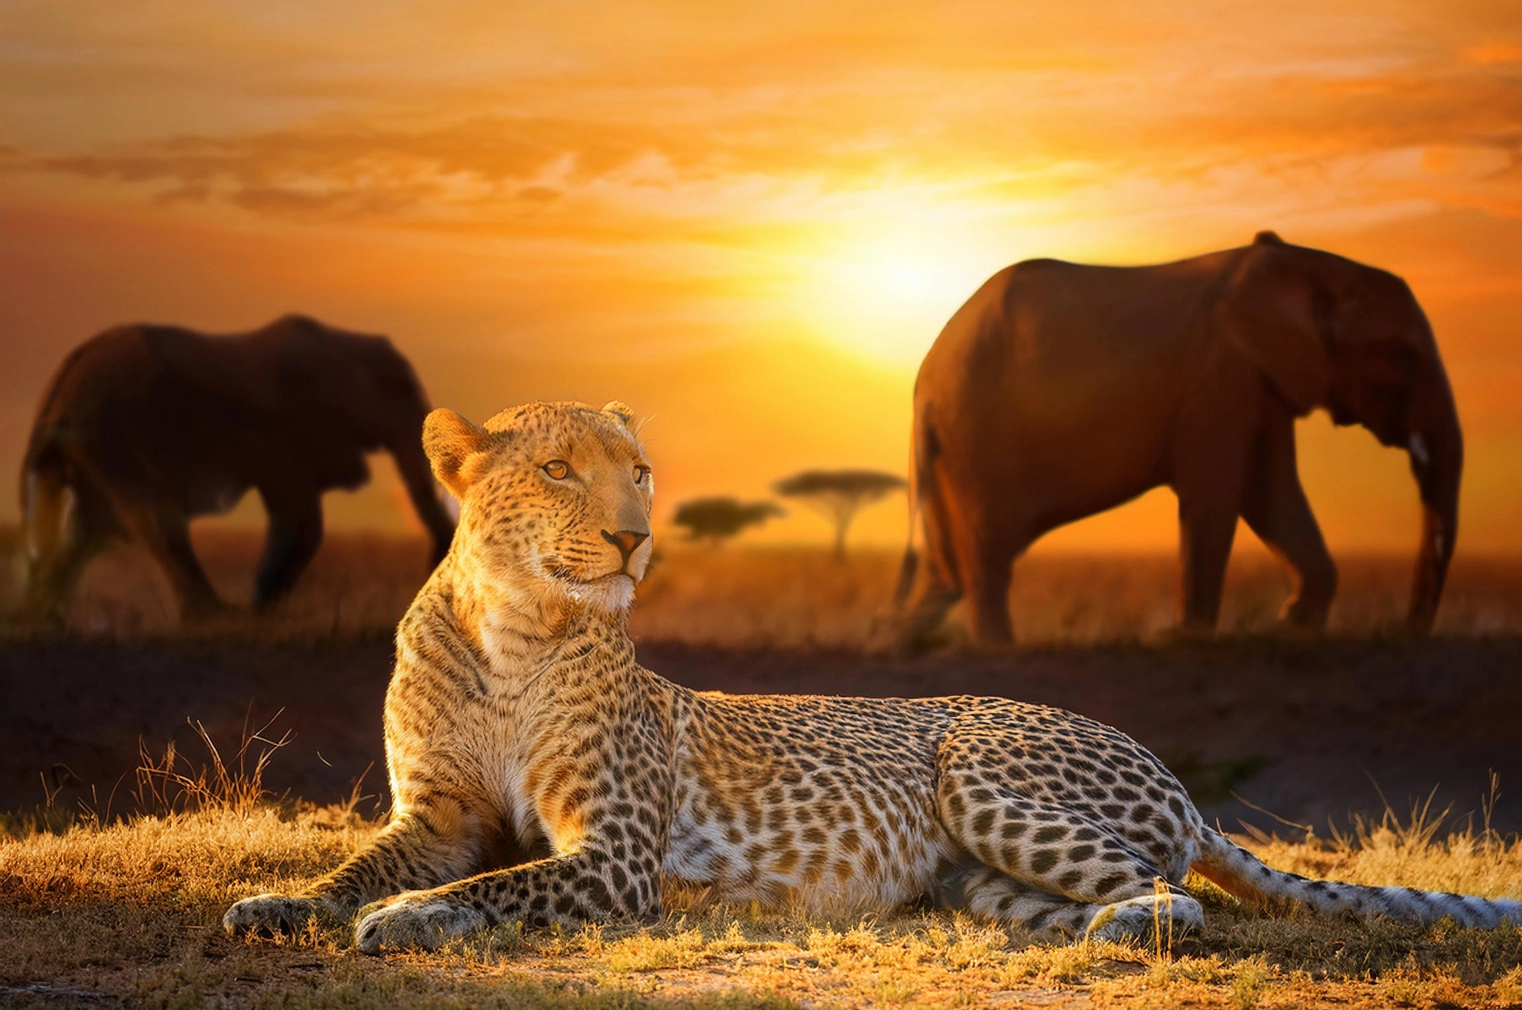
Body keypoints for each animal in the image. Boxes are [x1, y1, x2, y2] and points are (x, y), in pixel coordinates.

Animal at [20, 314, 457, 621]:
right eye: (403, 388)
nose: (436, 561)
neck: (346, 341)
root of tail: (62, 384)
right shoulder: (291, 434)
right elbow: (303, 523)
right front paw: (262, 612)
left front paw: (265, 611)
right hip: (118, 430)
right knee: (151, 520)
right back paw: (212, 617)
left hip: (95, 443)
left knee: (91, 528)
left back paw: (45, 620)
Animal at [894, 231, 1462, 646]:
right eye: (1402, 356)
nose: (1405, 631)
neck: (1306, 265)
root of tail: (926, 377)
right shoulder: (1220, 375)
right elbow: (1217, 498)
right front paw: (1187, 637)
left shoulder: (1259, 384)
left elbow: (1272, 494)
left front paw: (1294, 626)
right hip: (976, 442)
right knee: (986, 556)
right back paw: (998, 649)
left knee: (947, 574)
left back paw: (901, 643)